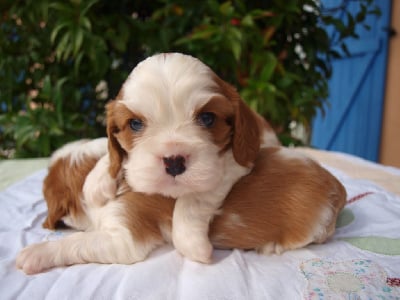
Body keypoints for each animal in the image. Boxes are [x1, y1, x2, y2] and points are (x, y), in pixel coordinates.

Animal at [101, 53, 280, 262]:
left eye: (207, 118)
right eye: (135, 124)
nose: (173, 162)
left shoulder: (233, 164)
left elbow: (194, 198)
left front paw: (192, 244)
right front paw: (100, 181)